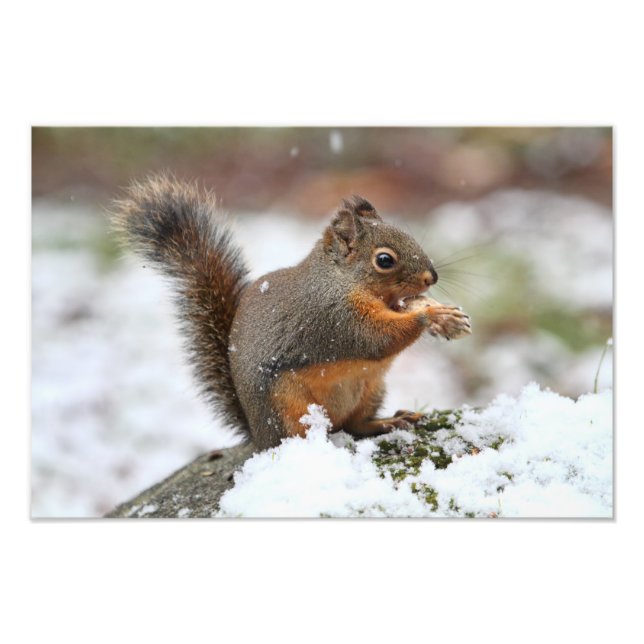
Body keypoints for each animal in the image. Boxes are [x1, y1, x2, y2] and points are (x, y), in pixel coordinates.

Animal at [112, 175, 471, 450]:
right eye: (384, 260)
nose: (431, 278)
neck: (340, 279)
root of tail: (258, 438)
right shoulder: (334, 316)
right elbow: (374, 339)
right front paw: (431, 316)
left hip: (370, 389)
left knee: (355, 425)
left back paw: (387, 422)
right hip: (288, 407)